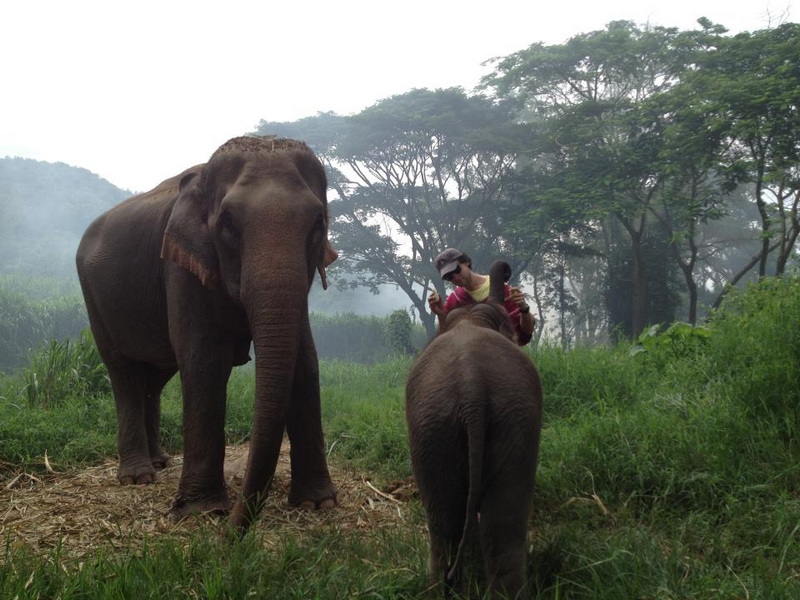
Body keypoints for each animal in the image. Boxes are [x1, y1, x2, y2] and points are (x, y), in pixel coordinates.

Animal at [76, 135, 338, 532]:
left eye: (318, 222)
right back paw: (138, 477)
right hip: (95, 300)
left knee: (155, 377)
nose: (234, 533)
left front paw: (317, 503)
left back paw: (160, 462)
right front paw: (203, 511)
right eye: (227, 223)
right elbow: (204, 361)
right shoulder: (181, 264)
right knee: (124, 374)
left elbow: (305, 362)